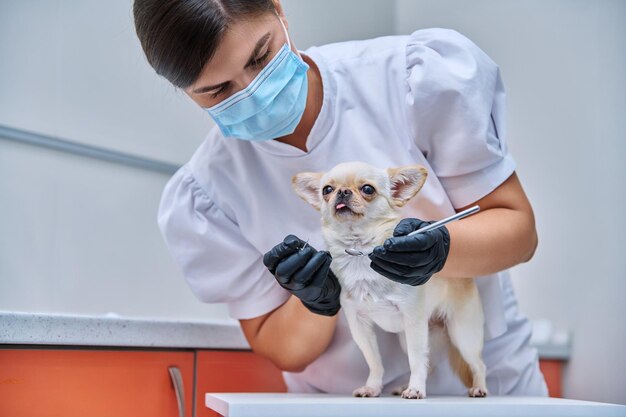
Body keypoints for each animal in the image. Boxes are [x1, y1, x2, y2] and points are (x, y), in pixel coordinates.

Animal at [292, 161, 488, 398]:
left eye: (368, 189)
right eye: (326, 190)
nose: (343, 191)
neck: (360, 254)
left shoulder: (413, 321)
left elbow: (415, 360)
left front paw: (416, 390)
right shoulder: (360, 326)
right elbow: (374, 361)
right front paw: (373, 387)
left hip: (461, 333)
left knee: (477, 364)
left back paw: (479, 387)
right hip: (409, 336)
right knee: (429, 364)